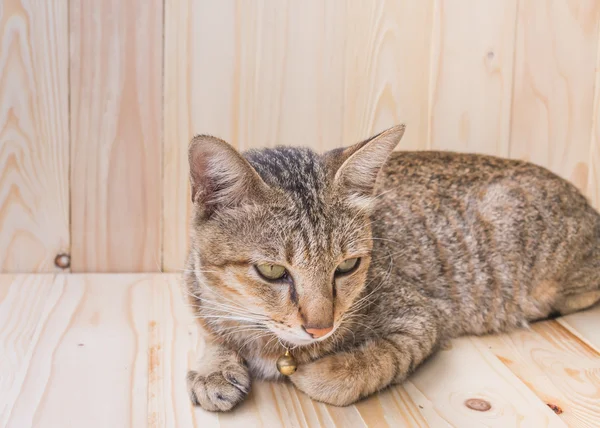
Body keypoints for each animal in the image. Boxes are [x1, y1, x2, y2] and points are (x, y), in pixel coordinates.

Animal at [184, 124, 600, 412]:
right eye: (272, 271)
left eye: (347, 266)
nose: (320, 328)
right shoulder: (200, 301)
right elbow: (212, 332)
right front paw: (213, 368)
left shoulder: (421, 320)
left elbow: (372, 363)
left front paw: (317, 371)